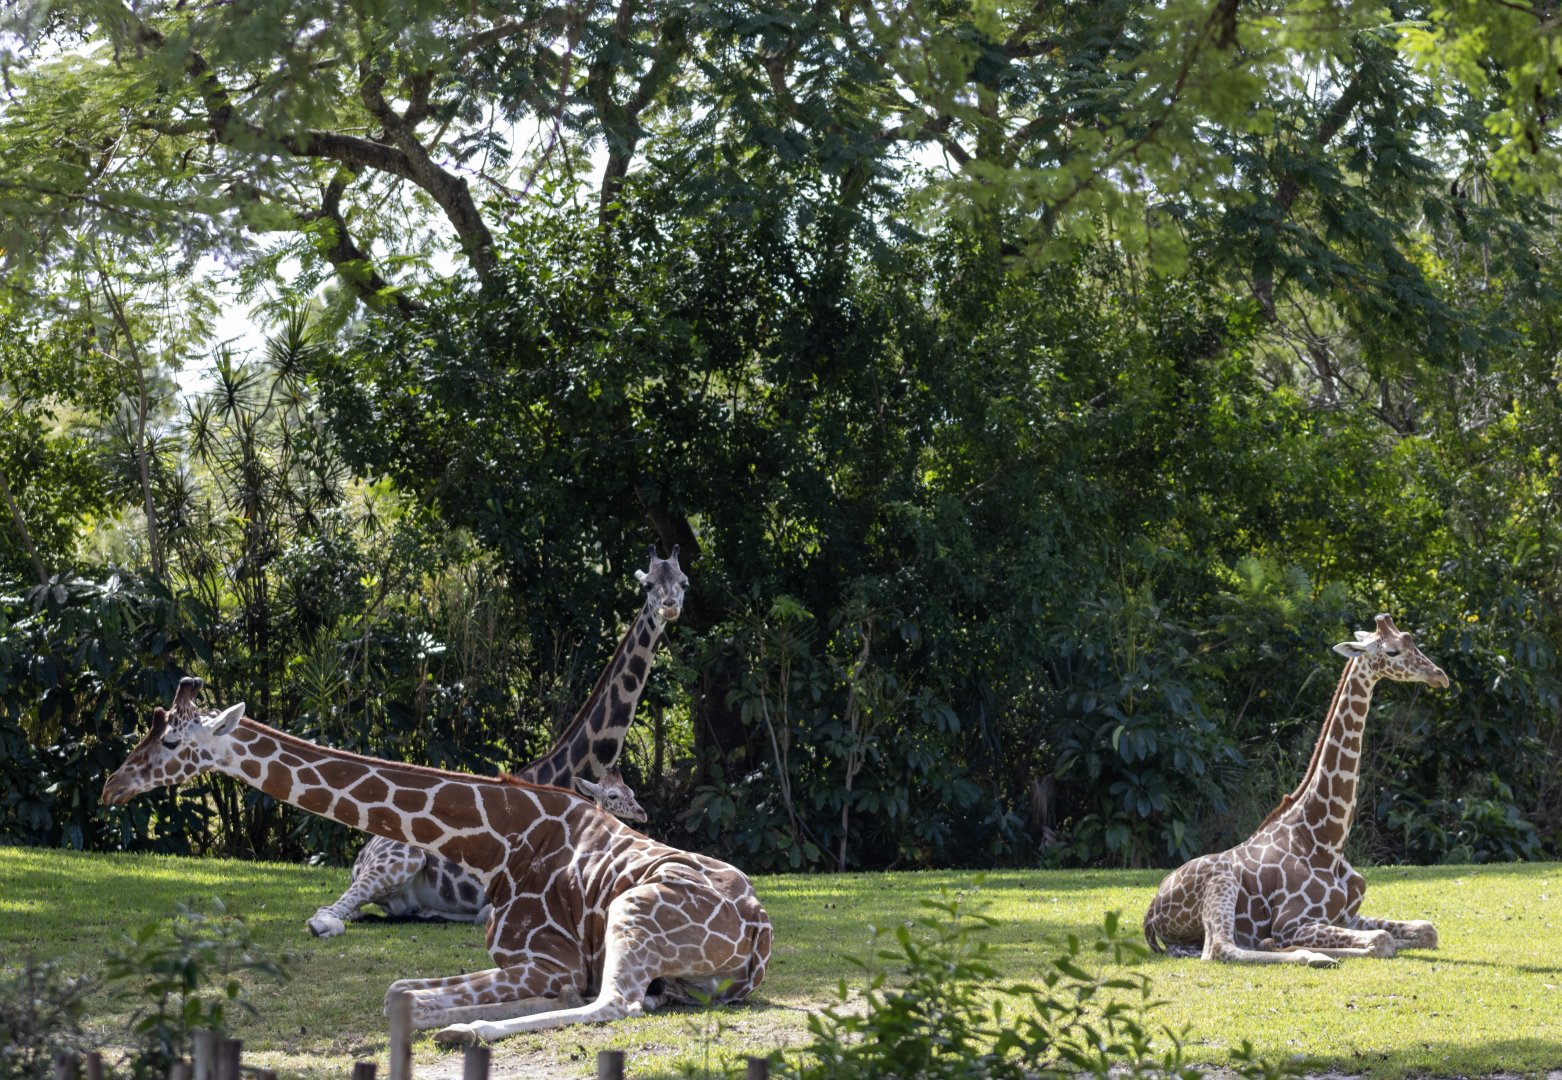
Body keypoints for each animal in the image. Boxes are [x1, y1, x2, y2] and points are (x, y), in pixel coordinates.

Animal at [101, 676, 771, 1042]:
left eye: (170, 740)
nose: (111, 785)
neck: (499, 841)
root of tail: (759, 939)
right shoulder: (533, 965)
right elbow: (401, 991)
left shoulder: (544, 960)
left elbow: (411, 999)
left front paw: (460, 1019)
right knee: (620, 999)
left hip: (634, 907)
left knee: (616, 1004)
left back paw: (468, 1029)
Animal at [306, 545, 686, 938]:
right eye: (648, 585)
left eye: (684, 581)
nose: (670, 606)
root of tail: (361, 854)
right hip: (399, 858)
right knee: (328, 911)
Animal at [1142, 614, 1447, 967]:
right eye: (1394, 651)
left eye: (1413, 641)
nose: (1440, 676)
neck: (1327, 840)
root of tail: (1150, 911)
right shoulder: (1292, 921)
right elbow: (1383, 940)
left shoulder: (1347, 915)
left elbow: (1427, 929)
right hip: (1221, 878)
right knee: (1219, 948)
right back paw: (1312, 956)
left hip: (1186, 937)